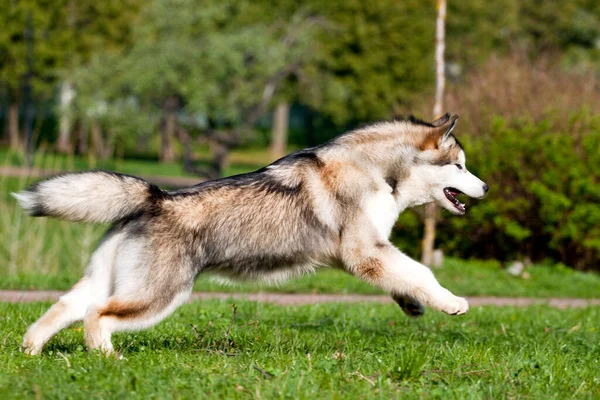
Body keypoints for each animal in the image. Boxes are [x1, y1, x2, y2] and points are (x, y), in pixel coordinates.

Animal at [14, 112, 488, 354]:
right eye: (460, 166)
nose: (485, 188)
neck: (378, 171)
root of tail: (156, 198)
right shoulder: (364, 250)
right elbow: (422, 271)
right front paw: (452, 302)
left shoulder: (364, 254)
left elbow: (405, 277)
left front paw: (412, 304)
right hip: (159, 296)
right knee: (97, 316)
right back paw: (108, 358)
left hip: (109, 282)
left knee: (64, 308)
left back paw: (32, 351)